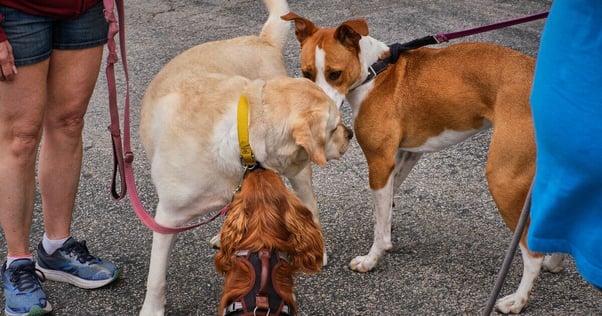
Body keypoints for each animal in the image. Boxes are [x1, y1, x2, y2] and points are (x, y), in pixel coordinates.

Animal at [280, 12, 564, 314]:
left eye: (335, 74)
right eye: (306, 74)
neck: (374, 72)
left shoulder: (379, 162)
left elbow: (380, 225)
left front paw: (372, 259)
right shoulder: (405, 155)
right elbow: (385, 208)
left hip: (503, 180)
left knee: (531, 253)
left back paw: (517, 300)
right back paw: (554, 262)